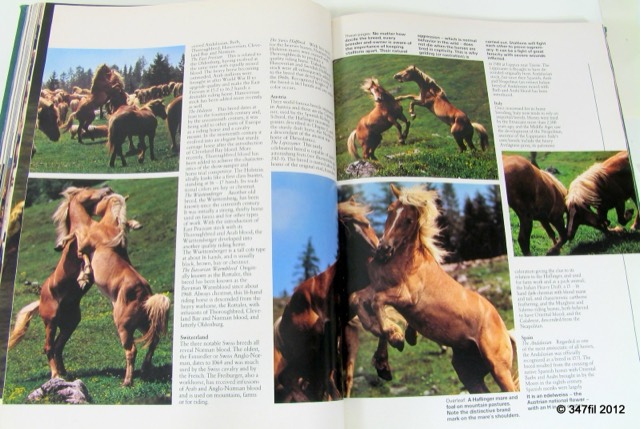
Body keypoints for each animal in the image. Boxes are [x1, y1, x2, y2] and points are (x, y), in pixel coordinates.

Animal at [8, 186, 114, 380]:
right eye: (87, 189)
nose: (108, 188)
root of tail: (40, 300)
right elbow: (83, 255)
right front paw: (84, 275)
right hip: (50, 322)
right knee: (48, 347)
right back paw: (56, 375)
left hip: (70, 323)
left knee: (58, 346)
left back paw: (65, 374)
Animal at [73, 193, 170, 386]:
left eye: (102, 198)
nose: (93, 208)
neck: (108, 229)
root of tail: (145, 297)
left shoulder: (84, 244)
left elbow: (80, 248)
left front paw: (84, 276)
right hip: (143, 324)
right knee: (153, 340)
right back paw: (145, 369)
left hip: (124, 327)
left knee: (131, 350)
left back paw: (127, 381)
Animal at [274, 197, 379, 402]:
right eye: (348, 232)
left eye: (367, 223)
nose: (378, 250)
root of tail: (280, 326)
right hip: (306, 355)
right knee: (290, 379)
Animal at [352, 184, 518, 393]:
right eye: (390, 211)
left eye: (409, 220)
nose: (383, 250)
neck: (405, 264)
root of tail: (505, 331)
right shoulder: (376, 287)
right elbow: (357, 298)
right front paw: (385, 350)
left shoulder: (406, 298)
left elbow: (377, 301)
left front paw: (396, 336)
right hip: (469, 373)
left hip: (499, 369)